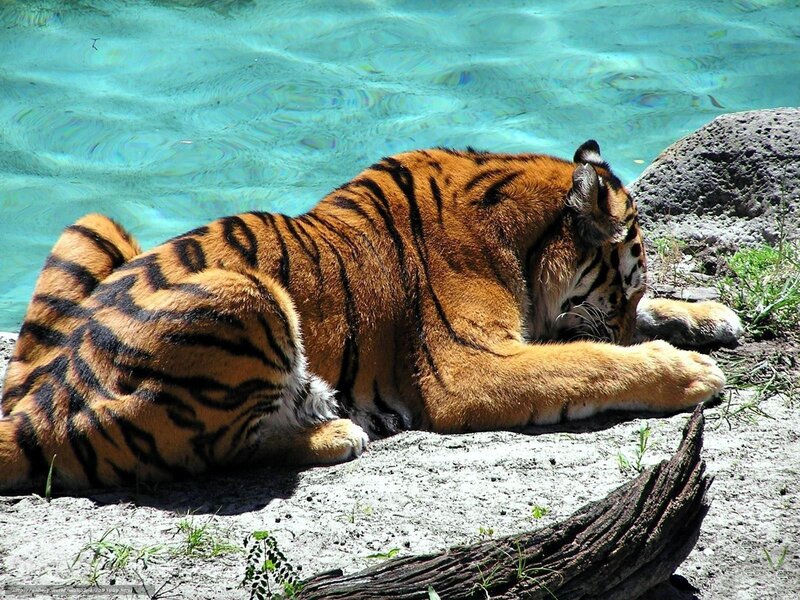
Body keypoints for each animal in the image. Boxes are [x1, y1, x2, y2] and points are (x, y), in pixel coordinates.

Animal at [0, 140, 743, 491]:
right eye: (621, 290)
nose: (626, 321)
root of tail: (41, 405)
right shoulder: (468, 367)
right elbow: (592, 362)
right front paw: (686, 370)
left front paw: (711, 316)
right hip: (248, 295)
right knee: (216, 450)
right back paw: (333, 430)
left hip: (95, 226)